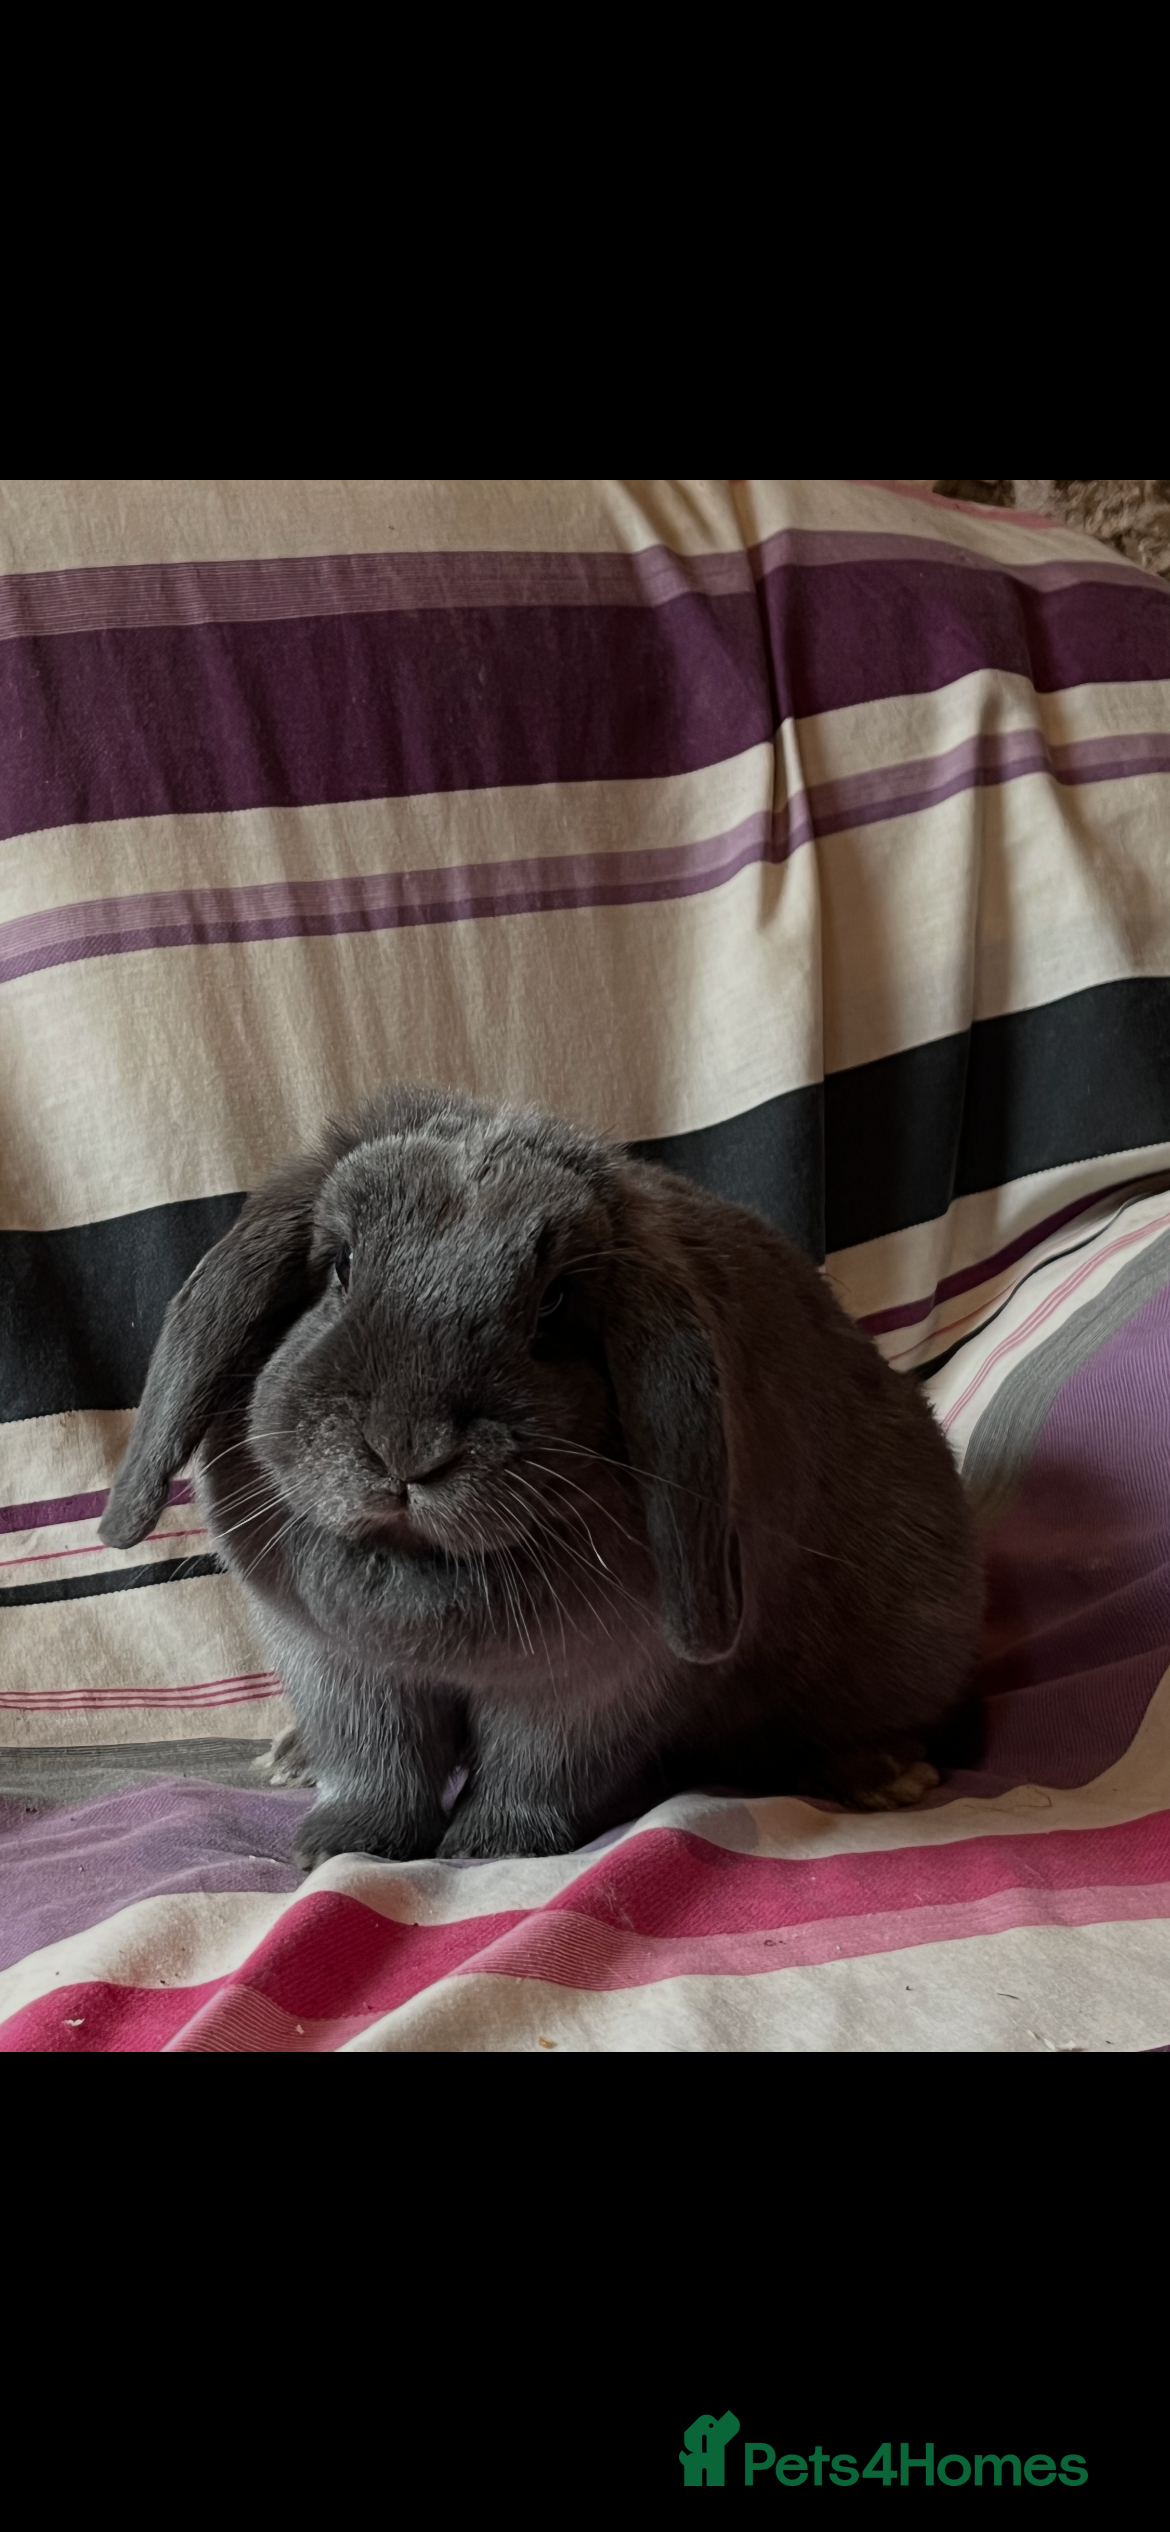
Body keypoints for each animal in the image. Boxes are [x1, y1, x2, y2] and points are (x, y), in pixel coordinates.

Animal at [98, 1084, 983, 1867]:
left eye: (554, 1304)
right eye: (341, 1267)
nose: (407, 1446)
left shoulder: (588, 1688)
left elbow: (535, 1772)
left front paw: (494, 1845)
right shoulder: (344, 1674)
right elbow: (376, 1766)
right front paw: (341, 1843)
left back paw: (885, 1776)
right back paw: (291, 1758)